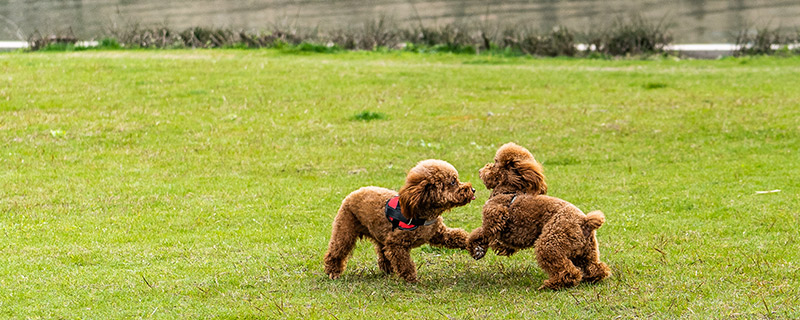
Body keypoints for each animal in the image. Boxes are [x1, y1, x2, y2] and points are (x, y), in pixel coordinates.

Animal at [324, 159, 476, 282]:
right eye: (452, 182)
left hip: (379, 235)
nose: (473, 189)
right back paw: (333, 272)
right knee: (336, 251)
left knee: (382, 252)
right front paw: (411, 279)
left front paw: (472, 244)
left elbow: (457, 236)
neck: (423, 213)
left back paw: (387, 270)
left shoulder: (438, 233)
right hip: (345, 230)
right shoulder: (396, 244)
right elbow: (405, 264)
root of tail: (354, 192)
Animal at [466, 142, 608, 290]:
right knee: (596, 268)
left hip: (550, 242)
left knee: (569, 271)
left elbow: (478, 233)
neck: (509, 191)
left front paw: (476, 249)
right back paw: (591, 277)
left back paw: (551, 284)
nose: (481, 171)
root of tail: (585, 221)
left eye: (495, 162)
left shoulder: (494, 219)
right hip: (587, 250)